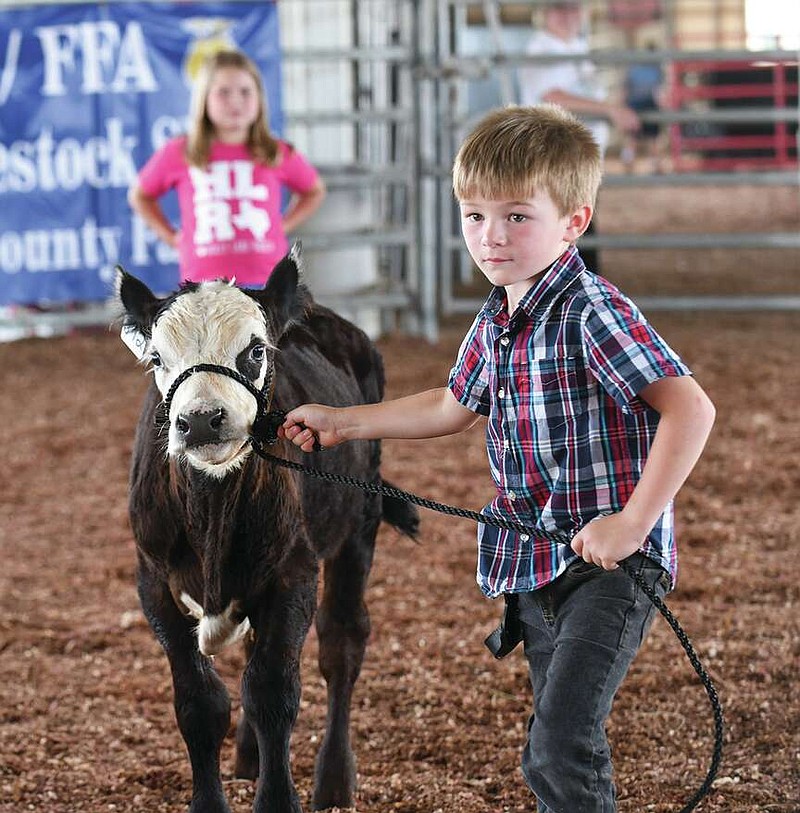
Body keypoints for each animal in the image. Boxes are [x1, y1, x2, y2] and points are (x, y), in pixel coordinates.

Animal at [120, 249, 418, 812]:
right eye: (157, 359)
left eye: (255, 351)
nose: (200, 420)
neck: (211, 511)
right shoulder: (154, 583)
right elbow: (199, 703)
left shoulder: (292, 574)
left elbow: (272, 693)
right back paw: (248, 756)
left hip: (358, 527)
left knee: (342, 644)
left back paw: (333, 779)